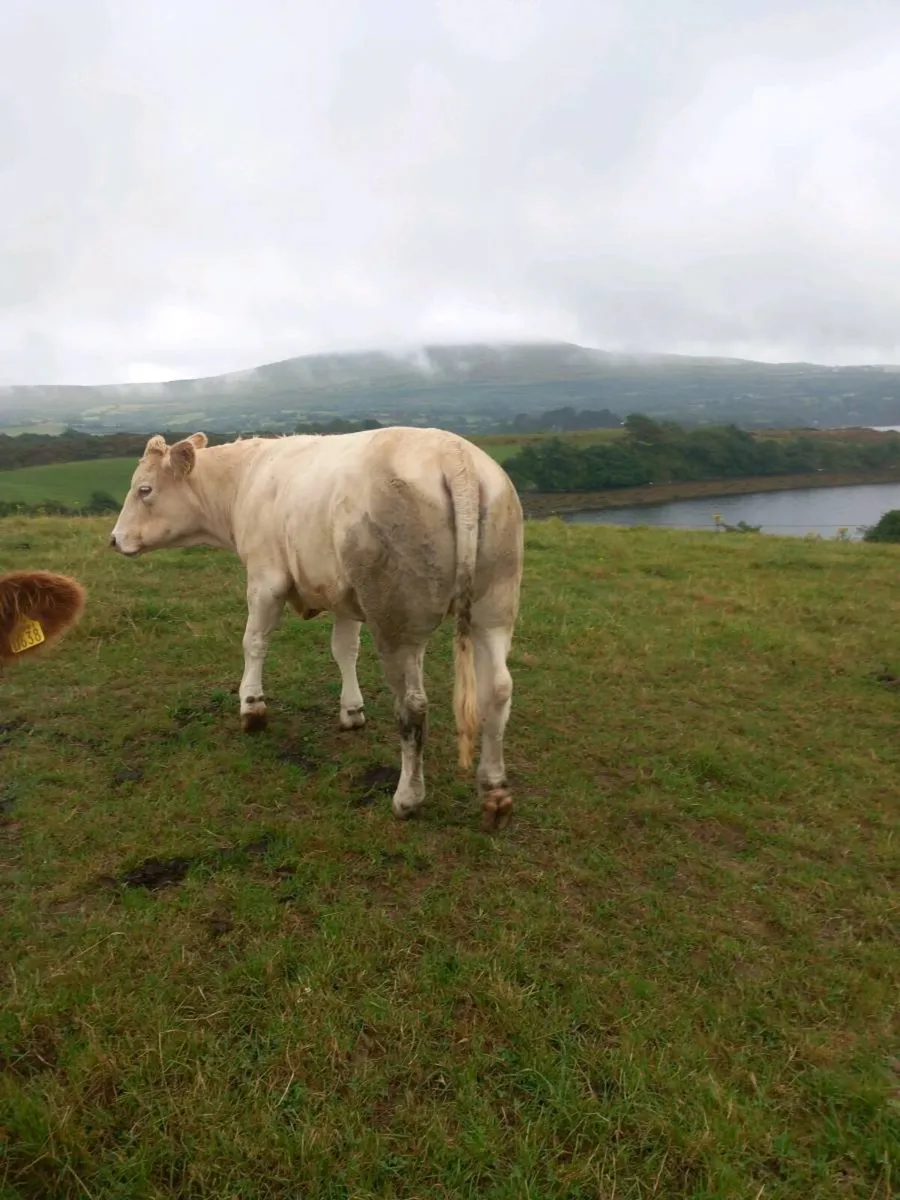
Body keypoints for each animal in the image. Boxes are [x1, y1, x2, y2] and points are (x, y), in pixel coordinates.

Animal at [109, 427, 524, 830]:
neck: (245, 479)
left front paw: (252, 706)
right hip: (494, 607)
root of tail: (453, 455)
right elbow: (344, 649)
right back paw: (496, 794)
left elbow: (254, 641)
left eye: (144, 489)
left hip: (397, 620)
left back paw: (408, 798)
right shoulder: (344, 596)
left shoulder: (265, 579)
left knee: (413, 705)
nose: (114, 539)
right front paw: (351, 710)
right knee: (497, 690)